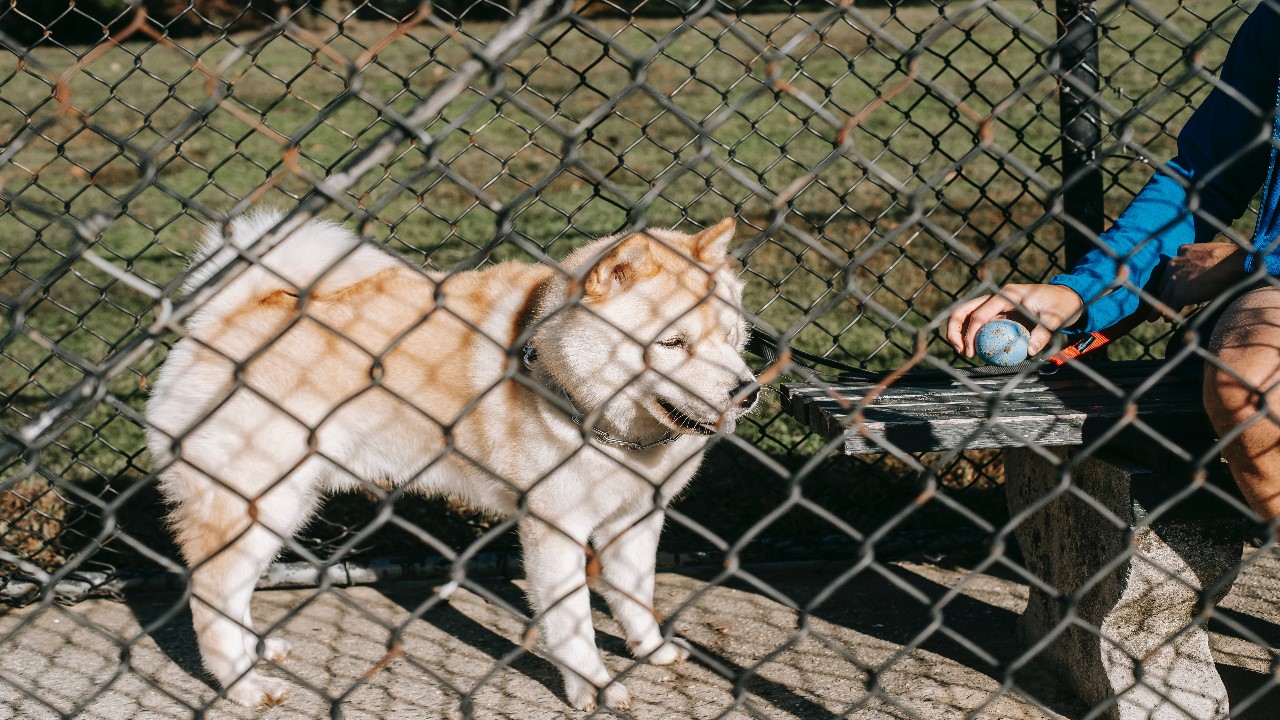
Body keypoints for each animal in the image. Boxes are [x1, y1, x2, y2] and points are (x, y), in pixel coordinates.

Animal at [144, 210, 752, 707]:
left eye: (733, 337)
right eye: (672, 344)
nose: (747, 391)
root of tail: (229, 310)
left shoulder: (635, 520)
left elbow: (635, 596)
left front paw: (650, 650)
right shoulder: (554, 529)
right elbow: (572, 623)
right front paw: (594, 689)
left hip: (284, 507)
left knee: (234, 592)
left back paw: (258, 652)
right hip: (256, 502)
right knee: (209, 595)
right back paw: (244, 687)